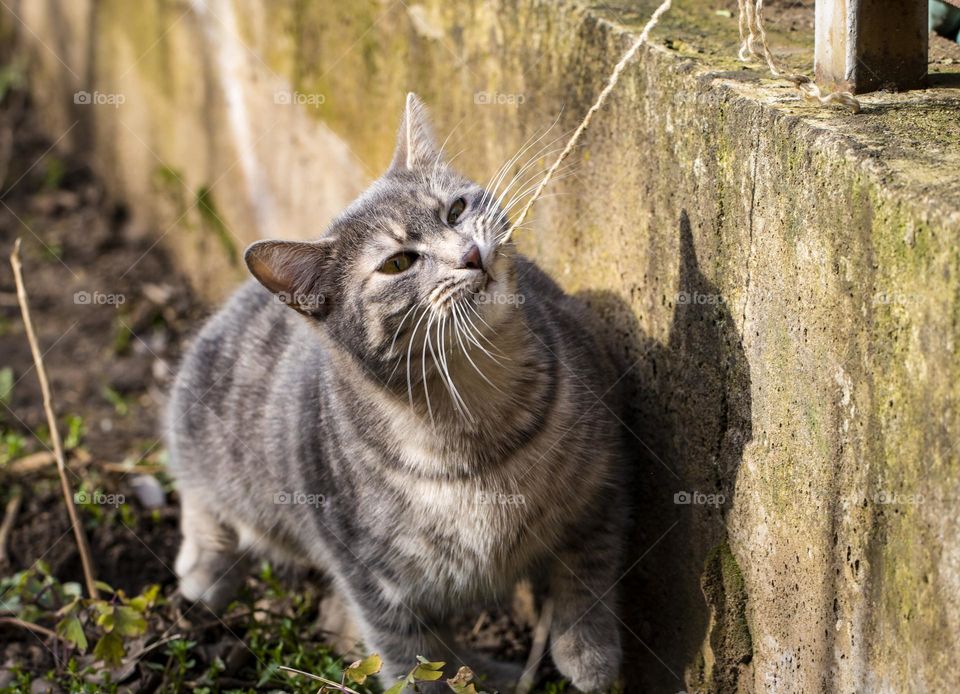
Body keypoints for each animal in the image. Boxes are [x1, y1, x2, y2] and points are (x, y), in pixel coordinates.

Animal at [166, 94, 632, 694]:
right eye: (397, 263)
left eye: (454, 211)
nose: (470, 254)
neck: (467, 414)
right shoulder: (372, 578)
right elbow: (412, 659)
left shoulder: (602, 483)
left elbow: (587, 572)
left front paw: (587, 651)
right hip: (206, 427)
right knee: (197, 489)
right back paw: (204, 569)